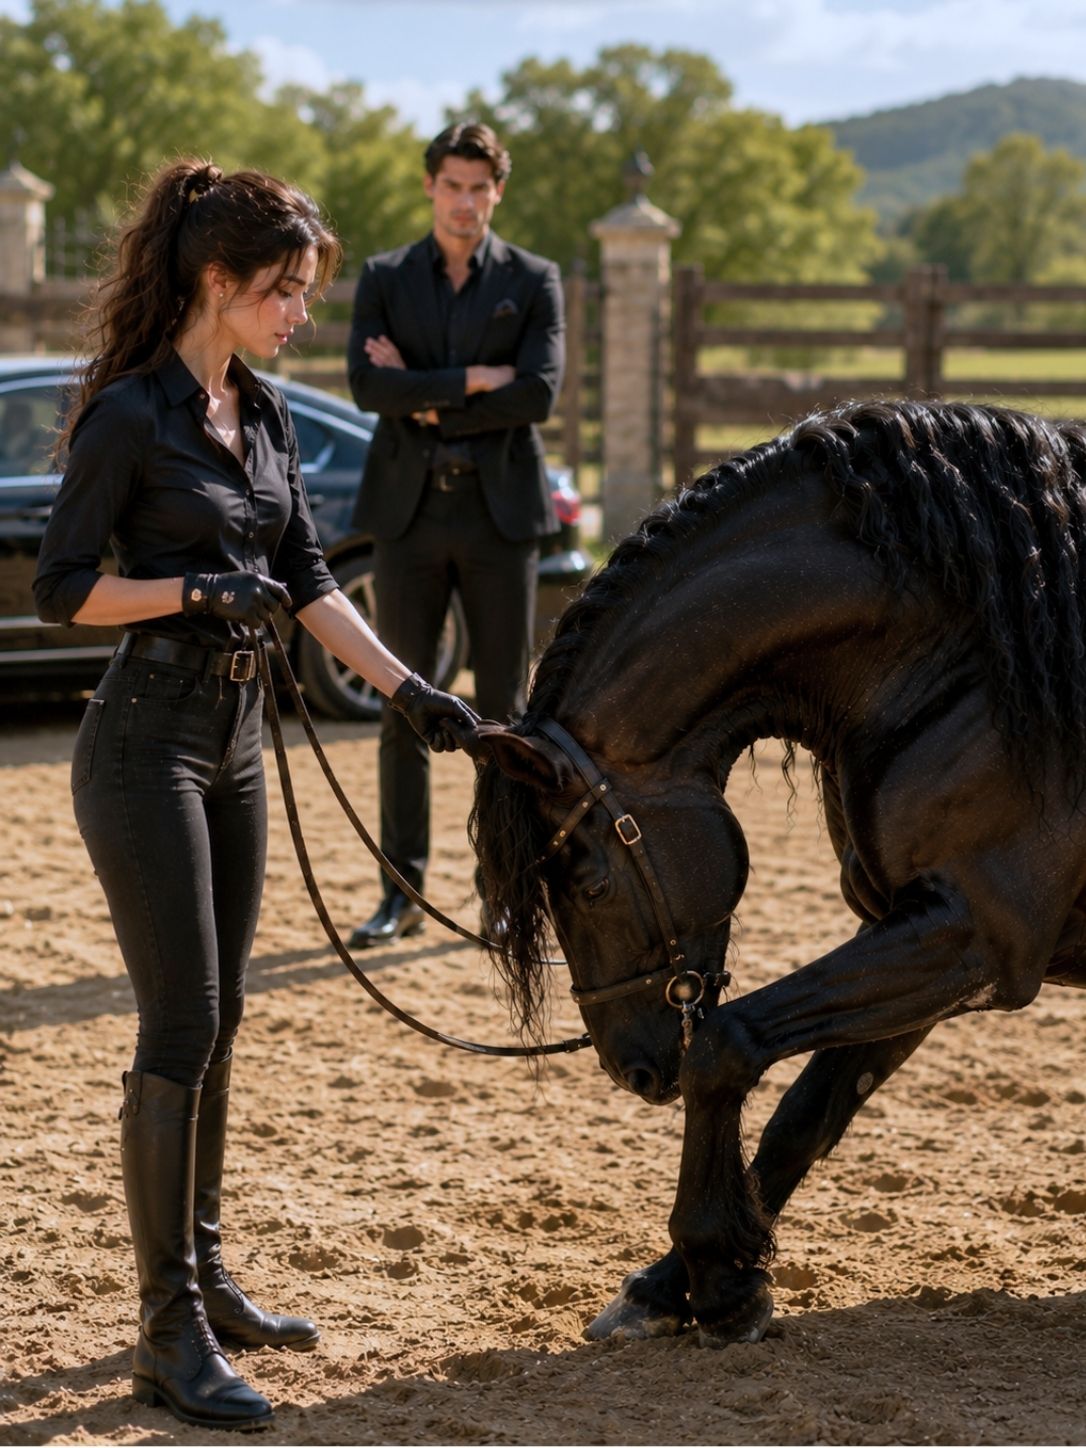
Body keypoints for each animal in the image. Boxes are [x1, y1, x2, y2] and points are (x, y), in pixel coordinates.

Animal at [467, 398, 1086, 1348]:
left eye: (586, 881)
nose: (630, 1069)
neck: (978, 661)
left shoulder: (971, 935)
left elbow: (725, 1046)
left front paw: (719, 1277)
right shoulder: (922, 932)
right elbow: (806, 1114)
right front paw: (671, 1284)